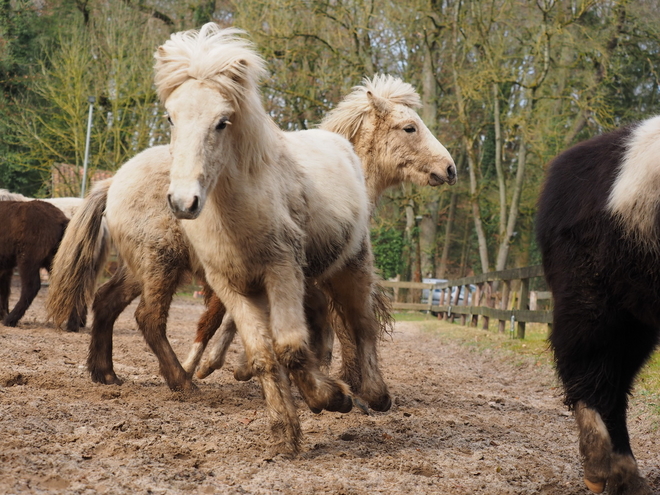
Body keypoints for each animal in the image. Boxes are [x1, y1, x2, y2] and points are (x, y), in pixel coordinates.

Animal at [536, 115, 660, 495]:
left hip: (635, 316)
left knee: (614, 382)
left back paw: (622, 473)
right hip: (593, 301)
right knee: (590, 372)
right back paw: (603, 466)